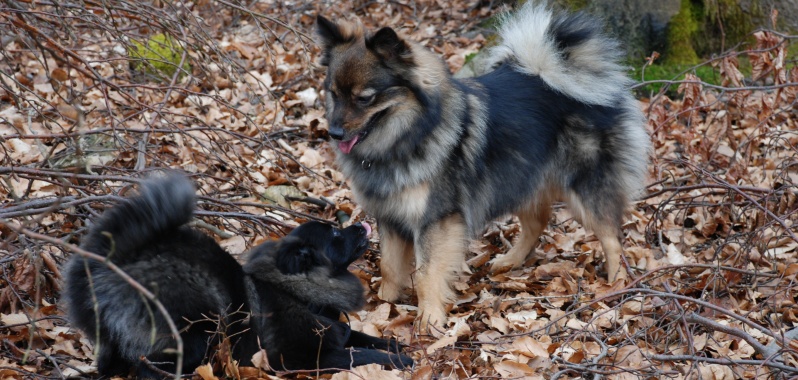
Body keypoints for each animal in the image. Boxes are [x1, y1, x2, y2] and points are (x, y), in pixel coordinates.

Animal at [62, 173, 412, 378]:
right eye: (335, 236)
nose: (361, 224)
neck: (298, 293)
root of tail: (113, 265)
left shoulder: (336, 331)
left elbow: (364, 337)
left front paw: (396, 346)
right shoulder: (296, 358)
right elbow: (358, 353)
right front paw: (399, 362)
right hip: (198, 329)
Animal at [316, 1, 652, 326]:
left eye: (364, 98)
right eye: (333, 93)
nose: (333, 132)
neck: (408, 136)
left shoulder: (435, 219)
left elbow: (426, 273)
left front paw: (429, 320)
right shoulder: (389, 216)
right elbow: (388, 265)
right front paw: (381, 305)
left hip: (583, 188)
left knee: (612, 237)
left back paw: (617, 283)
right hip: (519, 176)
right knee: (537, 222)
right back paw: (510, 261)